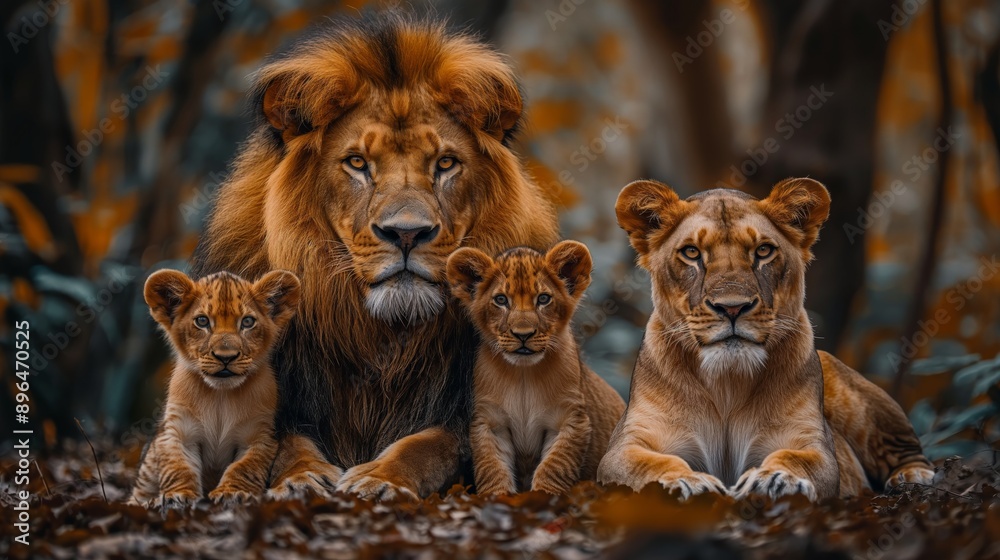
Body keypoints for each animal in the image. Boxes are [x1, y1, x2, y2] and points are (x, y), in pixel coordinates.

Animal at [131, 269, 302, 507]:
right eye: (202, 321)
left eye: (247, 322)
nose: (225, 357)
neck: (220, 394)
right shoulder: (178, 432)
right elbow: (178, 467)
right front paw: (179, 496)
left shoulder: (260, 436)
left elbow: (244, 468)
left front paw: (232, 492)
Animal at [191, 14, 559, 500]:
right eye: (357, 163)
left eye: (445, 163)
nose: (406, 233)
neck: (383, 337)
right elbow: (284, 443)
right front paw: (302, 477)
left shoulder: (466, 415)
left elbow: (429, 445)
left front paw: (379, 477)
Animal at [447, 242, 626, 494]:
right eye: (500, 300)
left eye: (543, 299)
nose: (523, 334)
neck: (524, 374)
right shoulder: (490, 422)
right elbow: (492, 468)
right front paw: (498, 497)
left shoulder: (570, 419)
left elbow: (554, 467)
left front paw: (542, 496)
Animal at [597, 178, 935, 500]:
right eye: (691, 252)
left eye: (763, 251)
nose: (732, 307)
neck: (727, 385)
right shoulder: (625, 445)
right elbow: (650, 463)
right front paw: (687, 481)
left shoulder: (811, 443)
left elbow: (795, 458)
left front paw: (775, 479)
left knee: (907, 450)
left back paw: (913, 476)